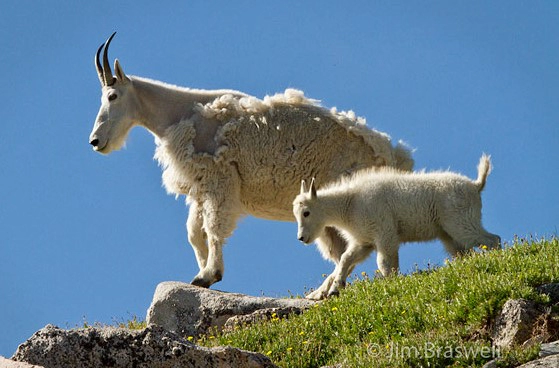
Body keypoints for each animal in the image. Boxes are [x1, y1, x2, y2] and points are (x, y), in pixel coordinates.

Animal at [89, 33, 414, 288]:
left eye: (112, 96)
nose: (95, 141)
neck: (180, 114)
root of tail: (395, 156)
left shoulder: (220, 180)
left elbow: (213, 229)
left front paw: (209, 275)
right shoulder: (201, 187)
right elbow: (194, 233)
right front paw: (201, 273)